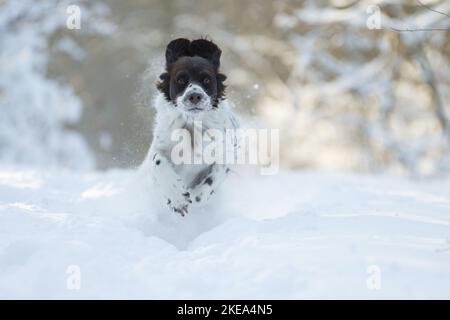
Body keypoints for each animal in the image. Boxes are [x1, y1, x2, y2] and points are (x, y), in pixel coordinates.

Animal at [142, 38, 239, 216]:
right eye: (180, 80)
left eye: (207, 80)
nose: (194, 96)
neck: (192, 126)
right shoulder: (160, 148)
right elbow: (158, 162)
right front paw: (178, 199)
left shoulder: (224, 155)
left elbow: (211, 180)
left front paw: (194, 197)